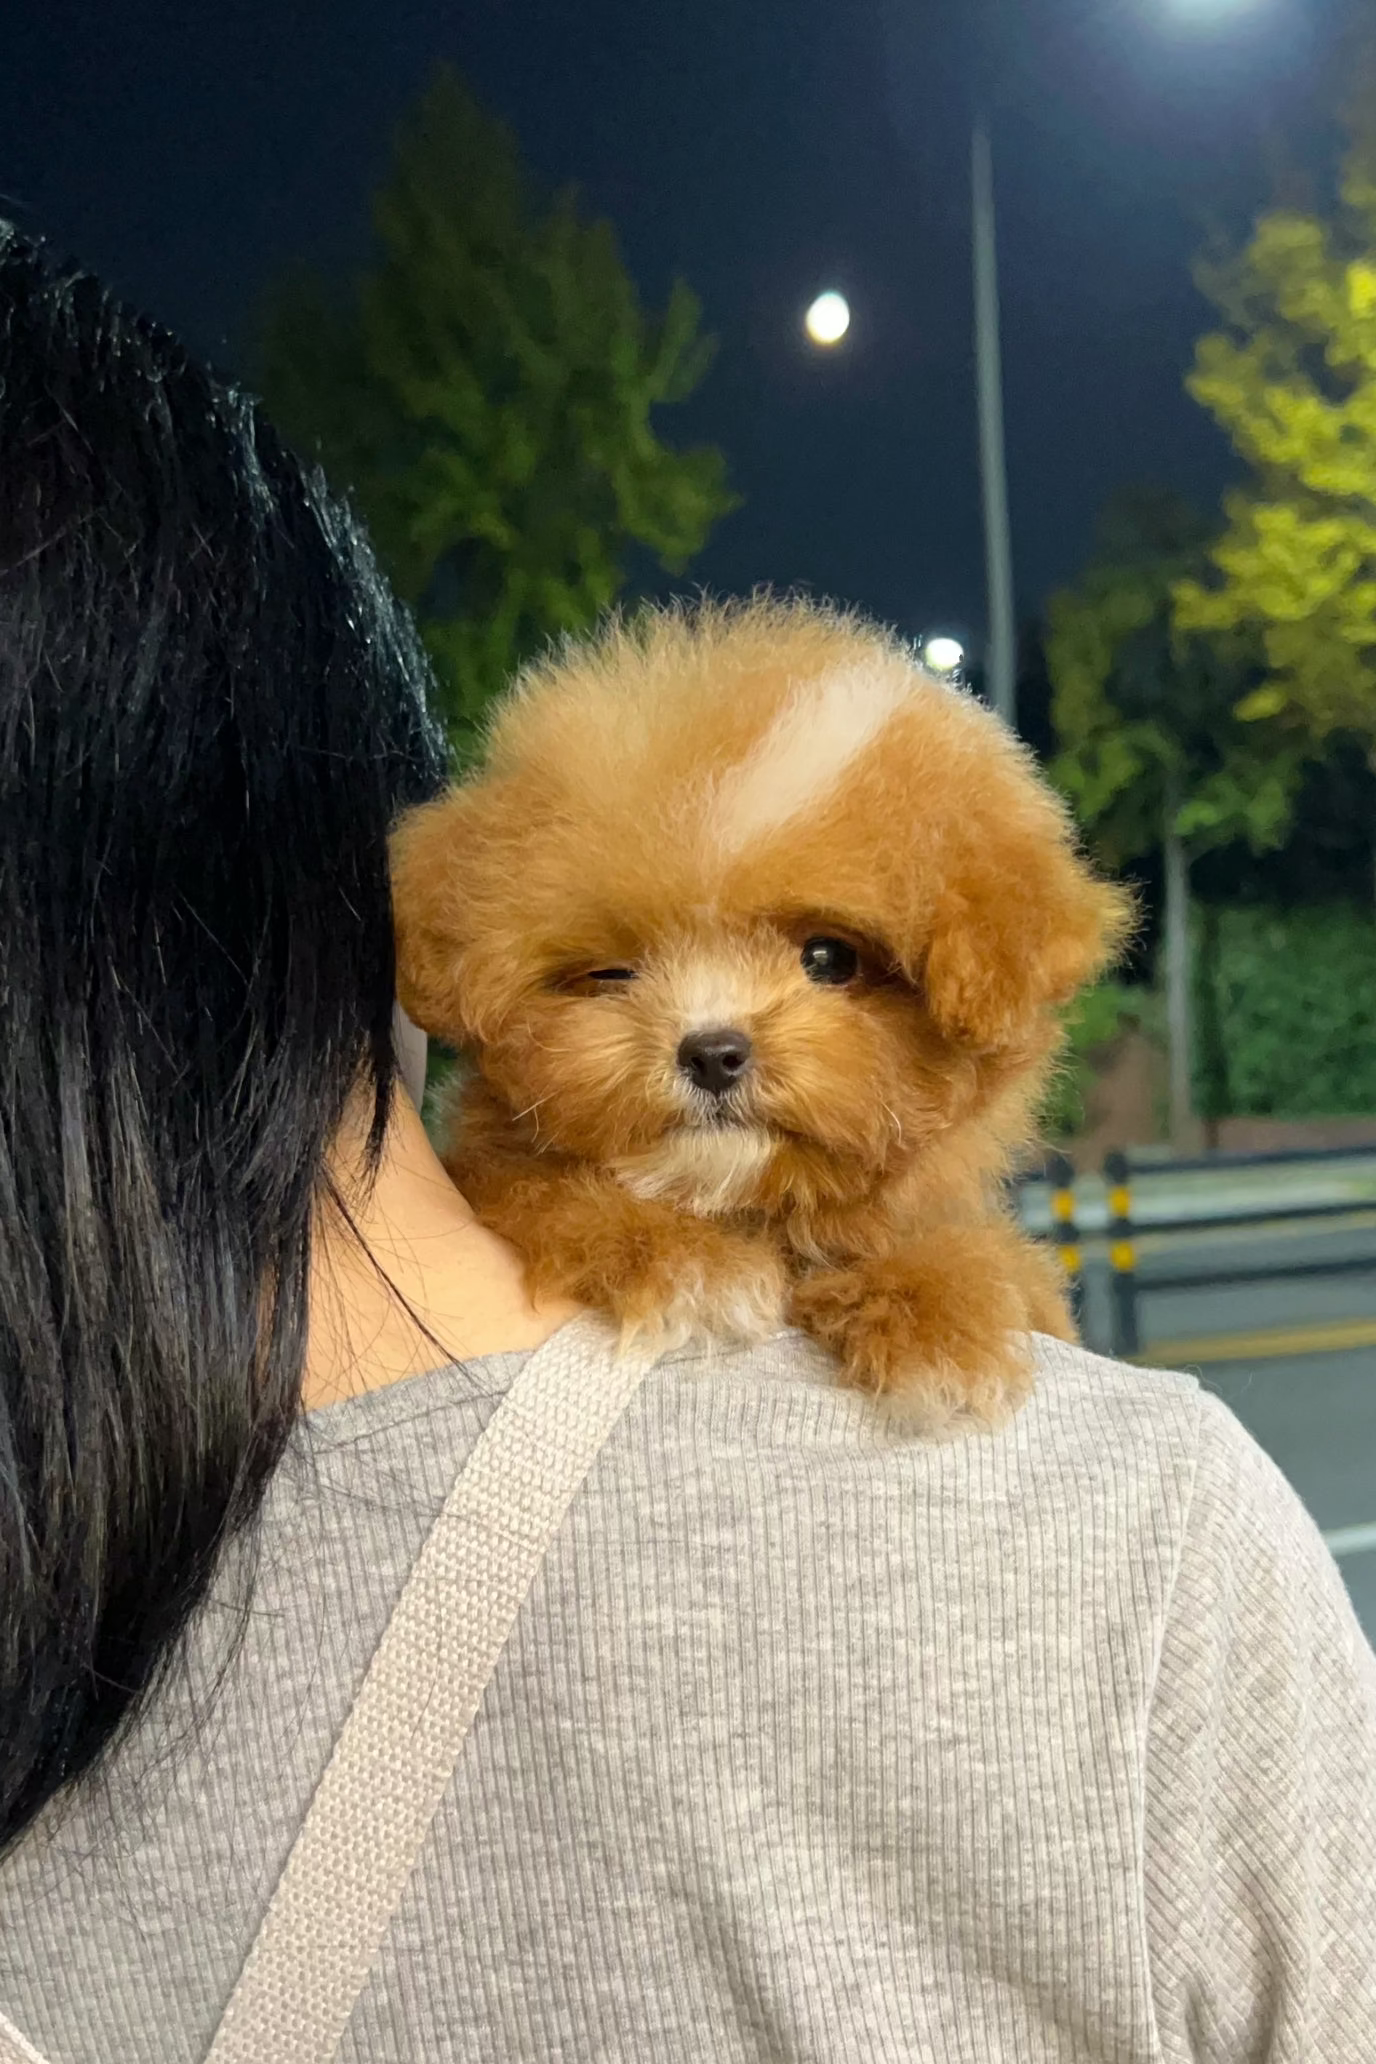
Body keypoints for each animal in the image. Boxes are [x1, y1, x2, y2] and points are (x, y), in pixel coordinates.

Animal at [391, 598, 1138, 1436]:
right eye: (613, 974)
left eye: (830, 958)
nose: (713, 1052)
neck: (753, 1208)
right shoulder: (492, 1174)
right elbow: (540, 1192)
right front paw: (679, 1257)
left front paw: (941, 1306)